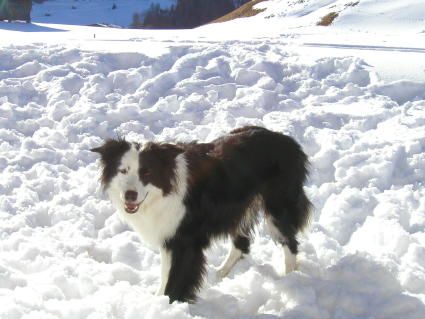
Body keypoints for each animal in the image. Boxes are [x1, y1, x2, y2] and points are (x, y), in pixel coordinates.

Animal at [92, 126, 312, 304]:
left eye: (147, 172)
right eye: (123, 170)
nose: (130, 195)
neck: (164, 191)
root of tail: (289, 141)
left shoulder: (185, 239)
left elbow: (177, 278)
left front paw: (170, 305)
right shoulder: (169, 234)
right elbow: (165, 273)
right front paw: (158, 300)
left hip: (278, 205)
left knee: (290, 241)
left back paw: (290, 278)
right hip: (240, 207)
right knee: (242, 242)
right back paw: (221, 273)